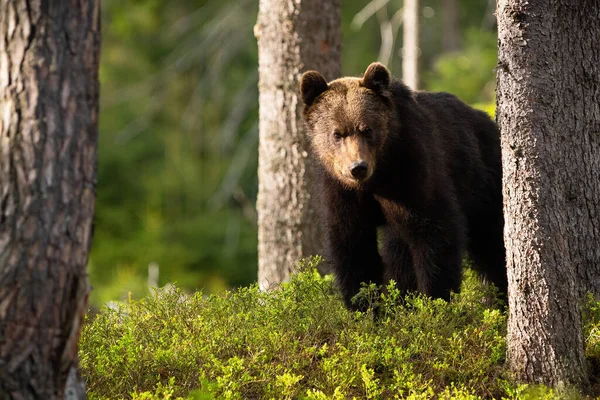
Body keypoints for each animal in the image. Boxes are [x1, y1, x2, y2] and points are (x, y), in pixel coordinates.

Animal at [300, 61, 506, 310]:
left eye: (367, 129)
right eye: (337, 134)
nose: (358, 167)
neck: (376, 179)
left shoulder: (410, 174)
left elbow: (434, 232)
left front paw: (435, 301)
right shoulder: (342, 192)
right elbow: (353, 247)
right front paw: (365, 307)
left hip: (484, 180)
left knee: (493, 241)